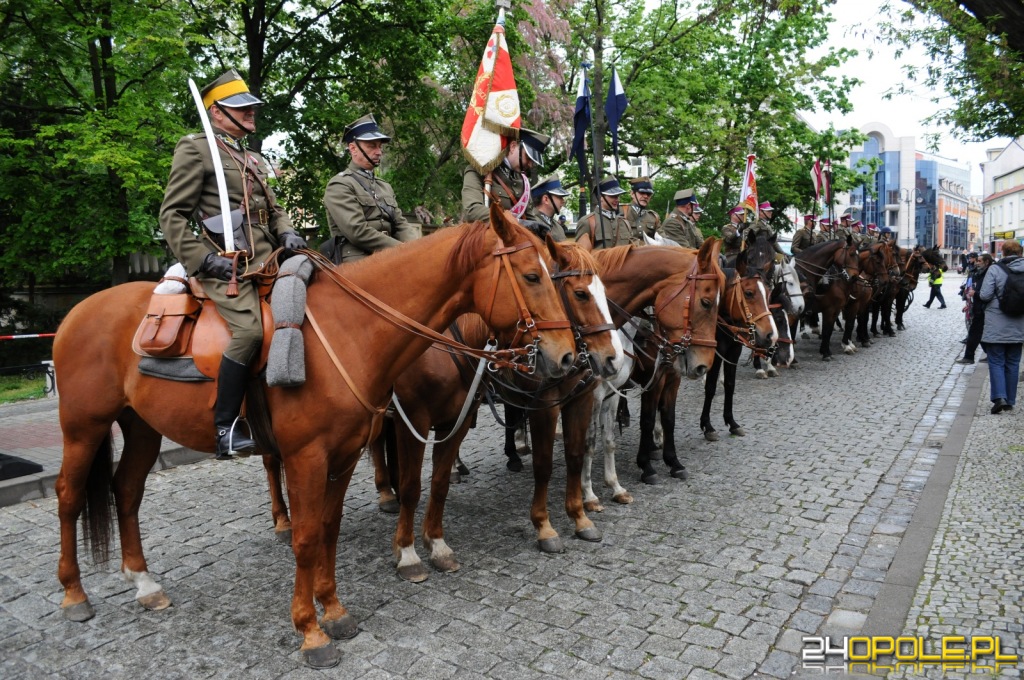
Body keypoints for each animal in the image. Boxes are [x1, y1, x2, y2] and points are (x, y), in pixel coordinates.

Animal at [51, 204, 581, 667]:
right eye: (532, 276)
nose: (568, 357)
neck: (352, 330)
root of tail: (78, 311)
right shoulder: (309, 457)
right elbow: (308, 538)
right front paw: (310, 631)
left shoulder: (344, 455)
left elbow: (330, 528)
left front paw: (335, 611)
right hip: (83, 427)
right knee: (69, 497)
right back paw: (74, 594)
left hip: (142, 427)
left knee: (126, 492)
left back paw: (144, 584)